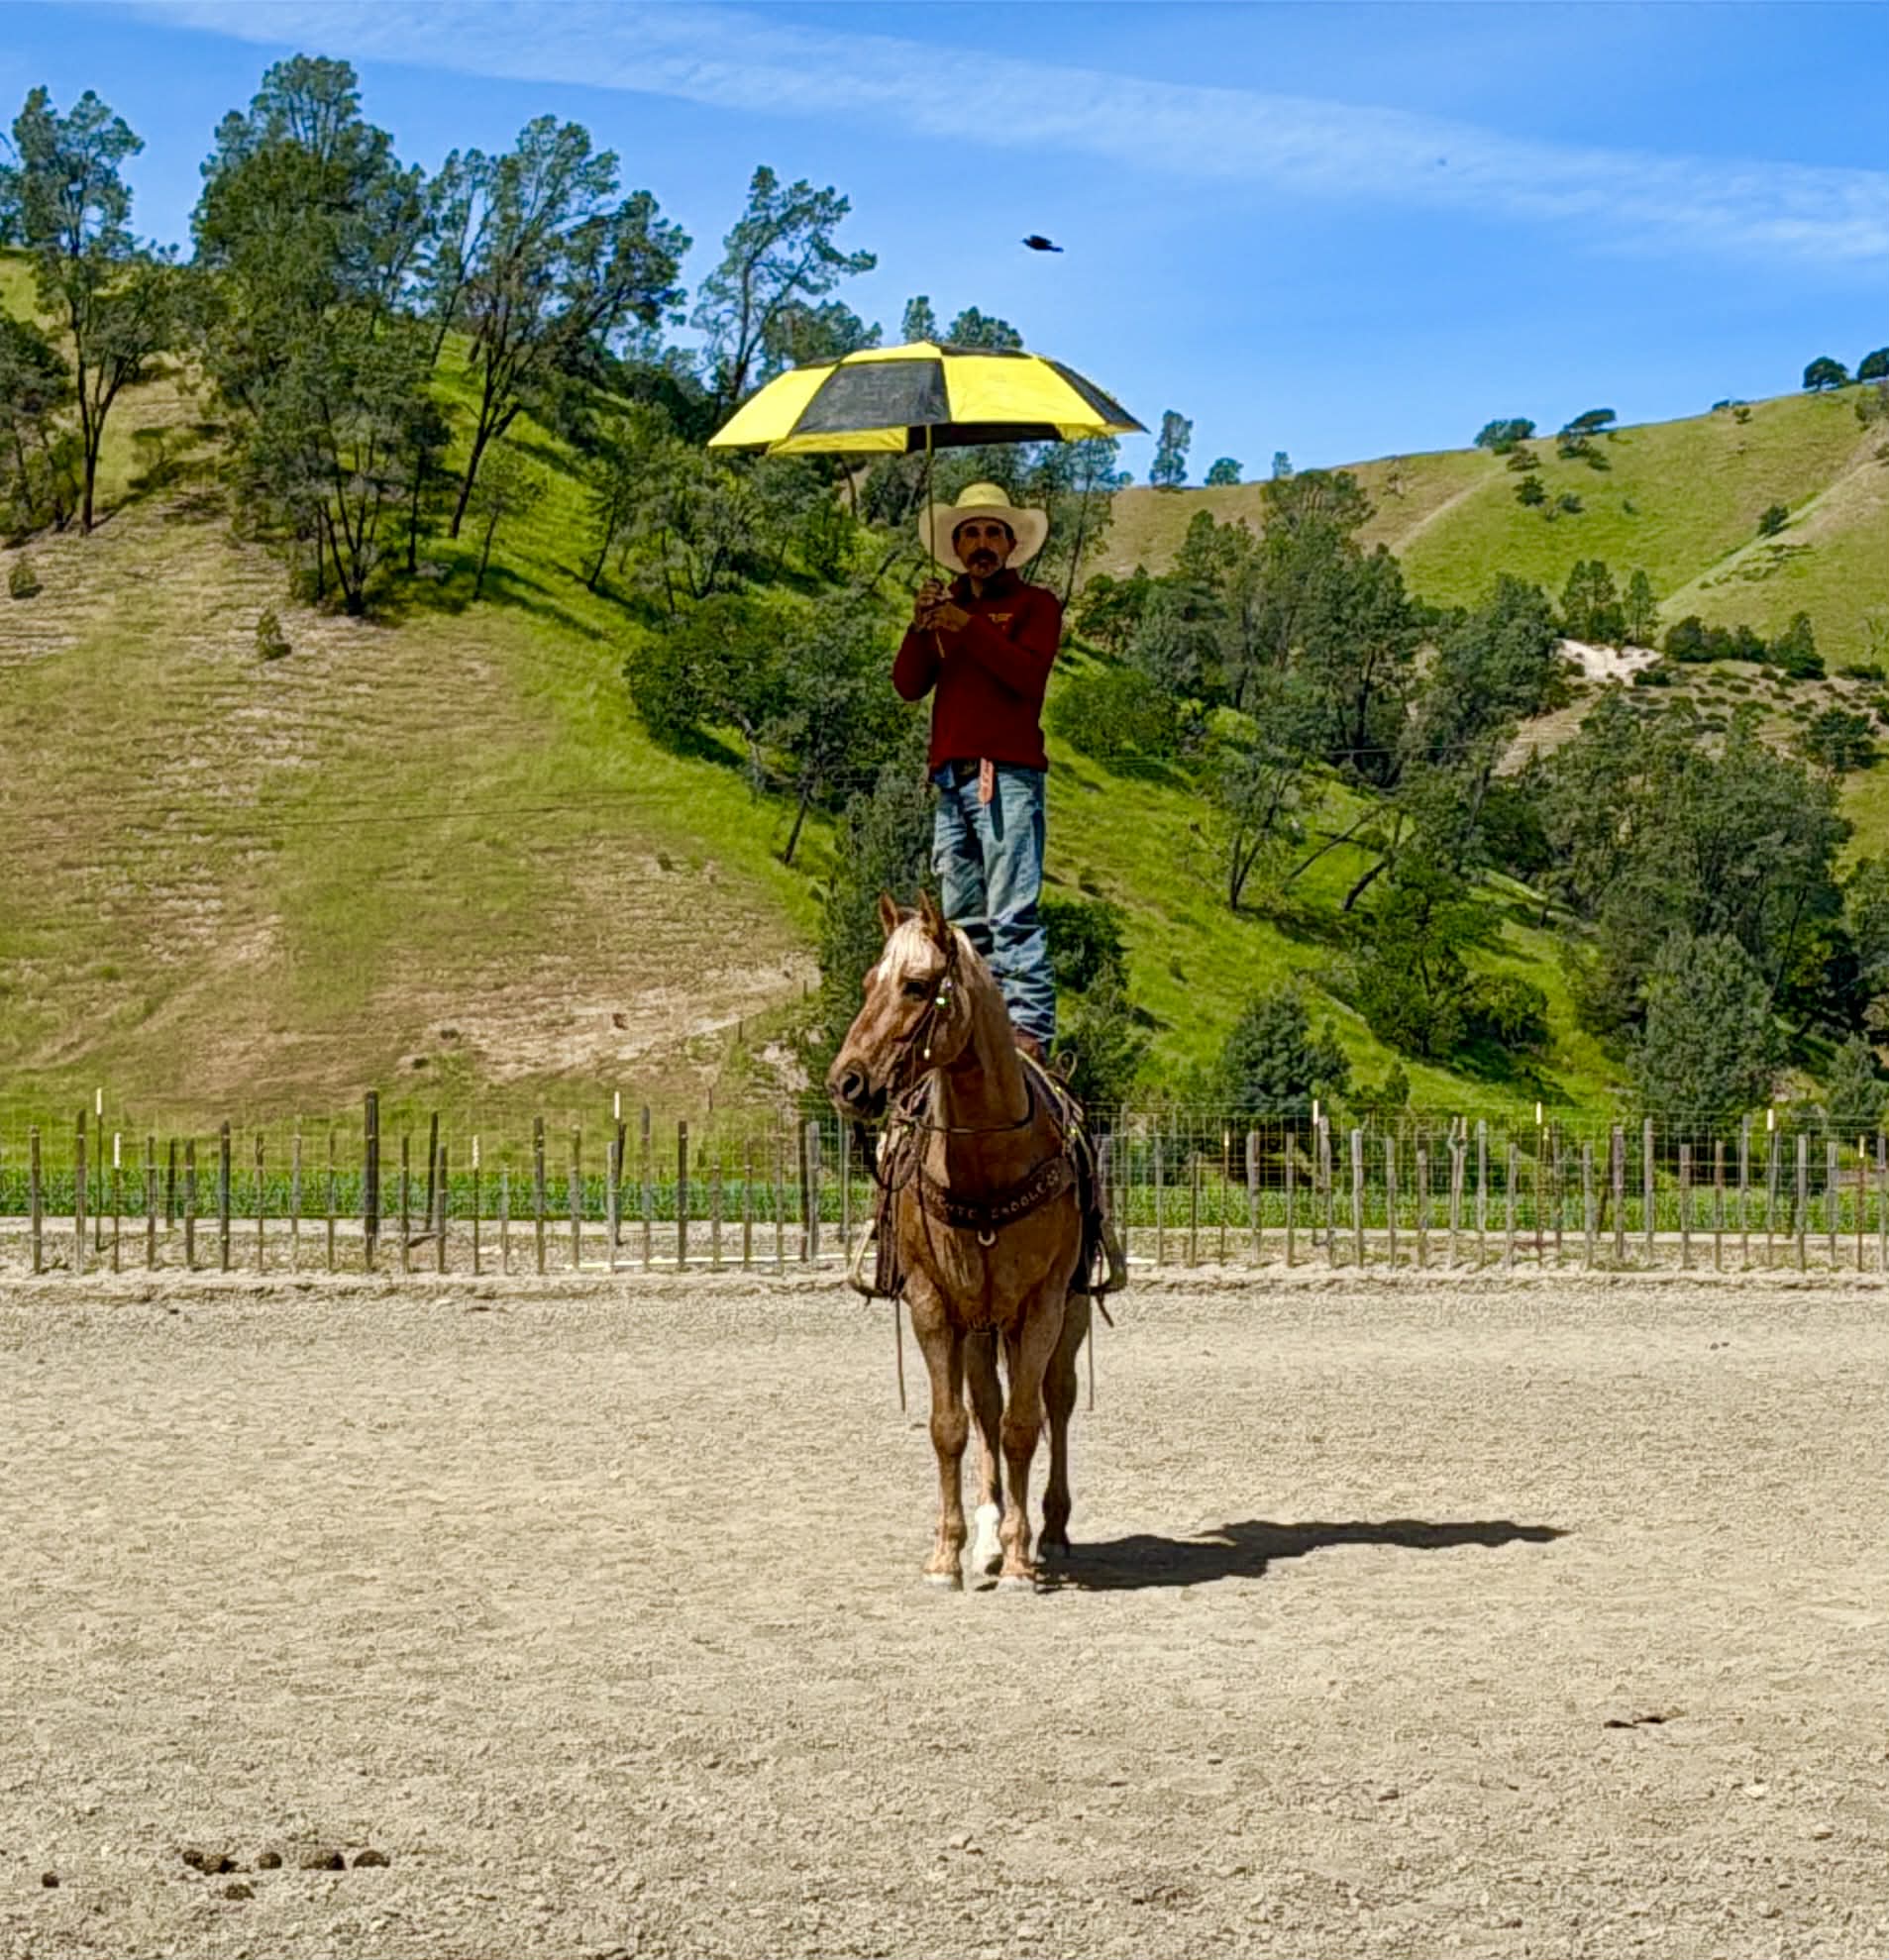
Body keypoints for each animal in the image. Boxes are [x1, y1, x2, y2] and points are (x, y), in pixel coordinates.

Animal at [827, 890, 1089, 1591]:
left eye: (917, 986)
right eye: (870, 982)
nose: (846, 1082)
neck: (986, 1160)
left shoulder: (1042, 1304)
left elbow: (1025, 1425)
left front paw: (1022, 1558)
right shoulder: (934, 1303)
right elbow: (952, 1426)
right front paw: (949, 1553)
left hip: (1071, 1312)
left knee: (1056, 1399)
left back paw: (1051, 1531)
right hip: (979, 1324)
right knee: (984, 1407)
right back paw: (987, 1535)